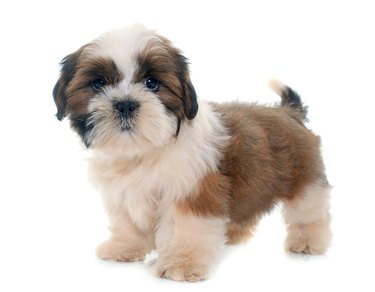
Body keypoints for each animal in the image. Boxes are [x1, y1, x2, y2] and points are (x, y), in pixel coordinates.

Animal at [52, 24, 332, 280]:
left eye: (152, 83)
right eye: (98, 83)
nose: (125, 104)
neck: (145, 151)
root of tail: (289, 112)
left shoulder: (193, 188)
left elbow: (185, 227)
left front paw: (182, 262)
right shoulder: (124, 193)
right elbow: (128, 223)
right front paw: (125, 247)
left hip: (305, 178)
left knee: (308, 210)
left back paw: (308, 241)